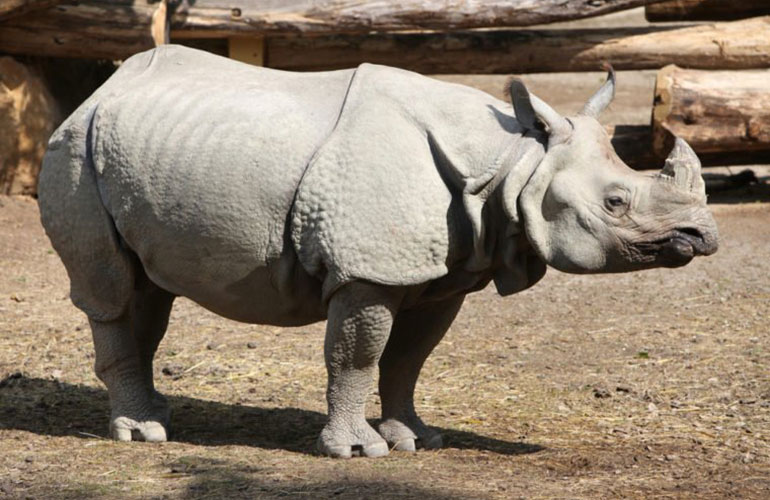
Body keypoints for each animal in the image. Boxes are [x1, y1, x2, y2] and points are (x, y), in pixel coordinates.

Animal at [38, 46, 718, 458]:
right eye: (616, 203)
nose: (703, 236)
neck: (511, 160)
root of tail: (101, 88)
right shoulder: (368, 269)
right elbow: (358, 356)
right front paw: (358, 451)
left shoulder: (446, 271)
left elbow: (409, 358)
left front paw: (418, 438)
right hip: (73, 150)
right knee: (112, 291)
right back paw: (140, 434)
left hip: (135, 151)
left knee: (148, 289)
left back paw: (159, 415)